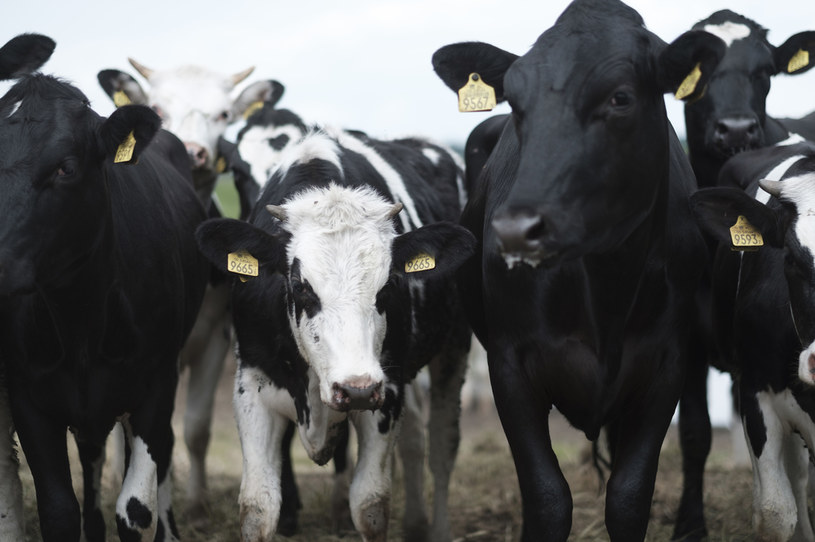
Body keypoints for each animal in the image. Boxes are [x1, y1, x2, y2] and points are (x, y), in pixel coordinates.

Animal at [0, 35, 210, 542]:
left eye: (66, 168)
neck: (81, 319)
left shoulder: (155, 388)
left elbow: (135, 508)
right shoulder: (31, 399)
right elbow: (60, 510)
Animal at [97, 59, 284, 524]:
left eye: (223, 114)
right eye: (159, 108)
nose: (194, 150)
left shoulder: (214, 338)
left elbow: (195, 429)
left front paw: (197, 503)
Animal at [196, 124, 478, 542]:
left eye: (388, 286)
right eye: (301, 287)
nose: (356, 388)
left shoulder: (386, 392)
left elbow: (370, 505)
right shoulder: (251, 386)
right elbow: (258, 508)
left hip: (453, 350)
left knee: (443, 444)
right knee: (415, 440)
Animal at [434, 2, 728, 540]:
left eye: (620, 98)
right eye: (516, 101)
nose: (515, 229)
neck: (605, 282)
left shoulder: (668, 364)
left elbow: (629, 497)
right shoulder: (509, 363)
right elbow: (548, 497)